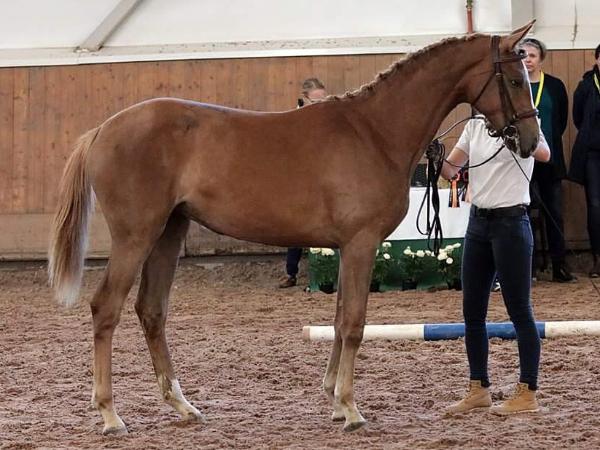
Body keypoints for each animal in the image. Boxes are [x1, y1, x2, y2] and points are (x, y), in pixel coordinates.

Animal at [49, 21, 539, 435]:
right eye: (516, 80)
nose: (531, 142)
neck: (374, 131)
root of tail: (103, 129)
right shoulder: (361, 244)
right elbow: (354, 323)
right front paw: (351, 409)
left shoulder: (345, 248)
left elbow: (340, 319)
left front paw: (335, 399)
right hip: (136, 237)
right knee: (106, 308)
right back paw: (110, 415)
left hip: (168, 233)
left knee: (151, 311)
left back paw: (182, 405)